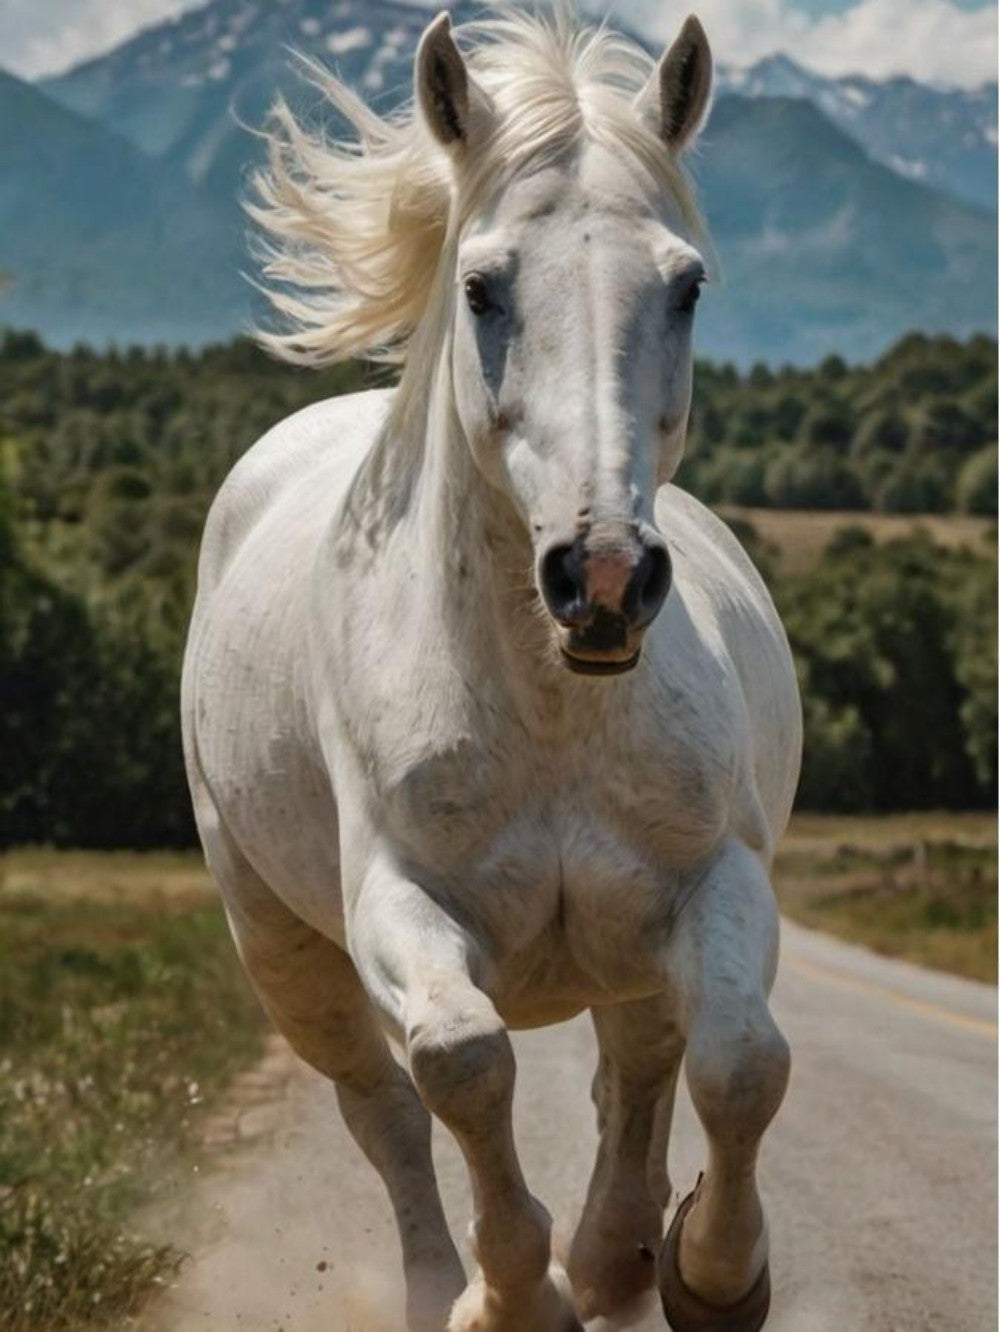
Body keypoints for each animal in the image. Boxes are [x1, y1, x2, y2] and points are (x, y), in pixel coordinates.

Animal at [181, 9, 802, 1330]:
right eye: (481, 286)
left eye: (685, 285)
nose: (602, 576)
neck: (552, 708)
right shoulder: (399, 903)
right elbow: (462, 1066)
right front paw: (515, 1297)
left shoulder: (714, 880)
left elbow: (738, 1064)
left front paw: (711, 1274)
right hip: (282, 948)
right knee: (383, 1112)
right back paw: (448, 1288)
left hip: (628, 947)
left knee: (641, 1066)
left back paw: (620, 1252)